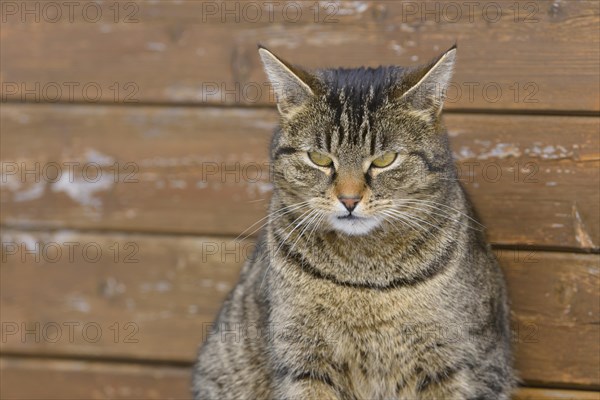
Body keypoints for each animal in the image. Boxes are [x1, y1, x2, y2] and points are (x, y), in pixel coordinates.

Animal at [193, 45, 516, 398]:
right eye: (319, 158)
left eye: (385, 160)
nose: (349, 199)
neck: (364, 277)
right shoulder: (303, 360)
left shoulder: (465, 362)